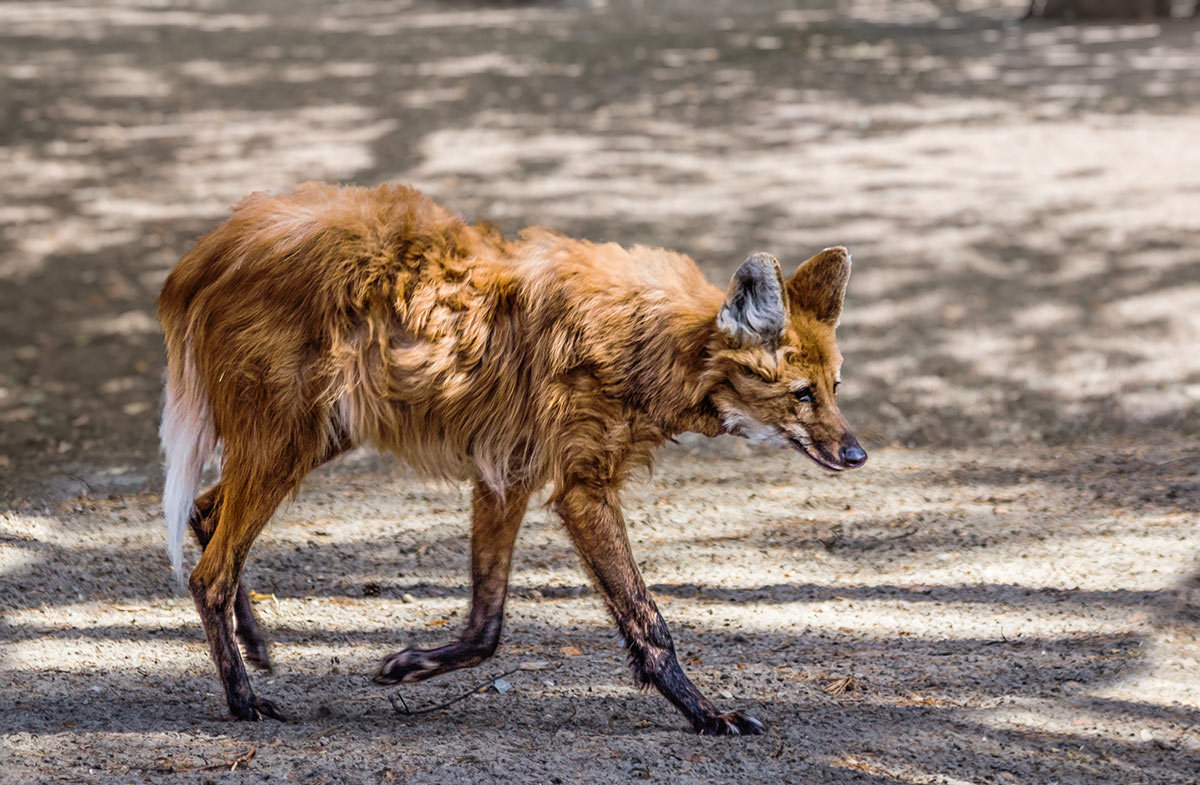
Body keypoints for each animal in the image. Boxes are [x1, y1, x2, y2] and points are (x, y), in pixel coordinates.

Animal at [162, 182, 873, 739]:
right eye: (801, 394)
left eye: (835, 387)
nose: (857, 453)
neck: (656, 346)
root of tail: (212, 247)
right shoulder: (580, 489)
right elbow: (648, 620)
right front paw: (709, 716)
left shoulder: (507, 476)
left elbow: (487, 624)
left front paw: (407, 666)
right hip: (292, 440)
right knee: (209, 572)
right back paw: (245, 702)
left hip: (320, 433)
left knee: (205, 515)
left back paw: (257, 647)